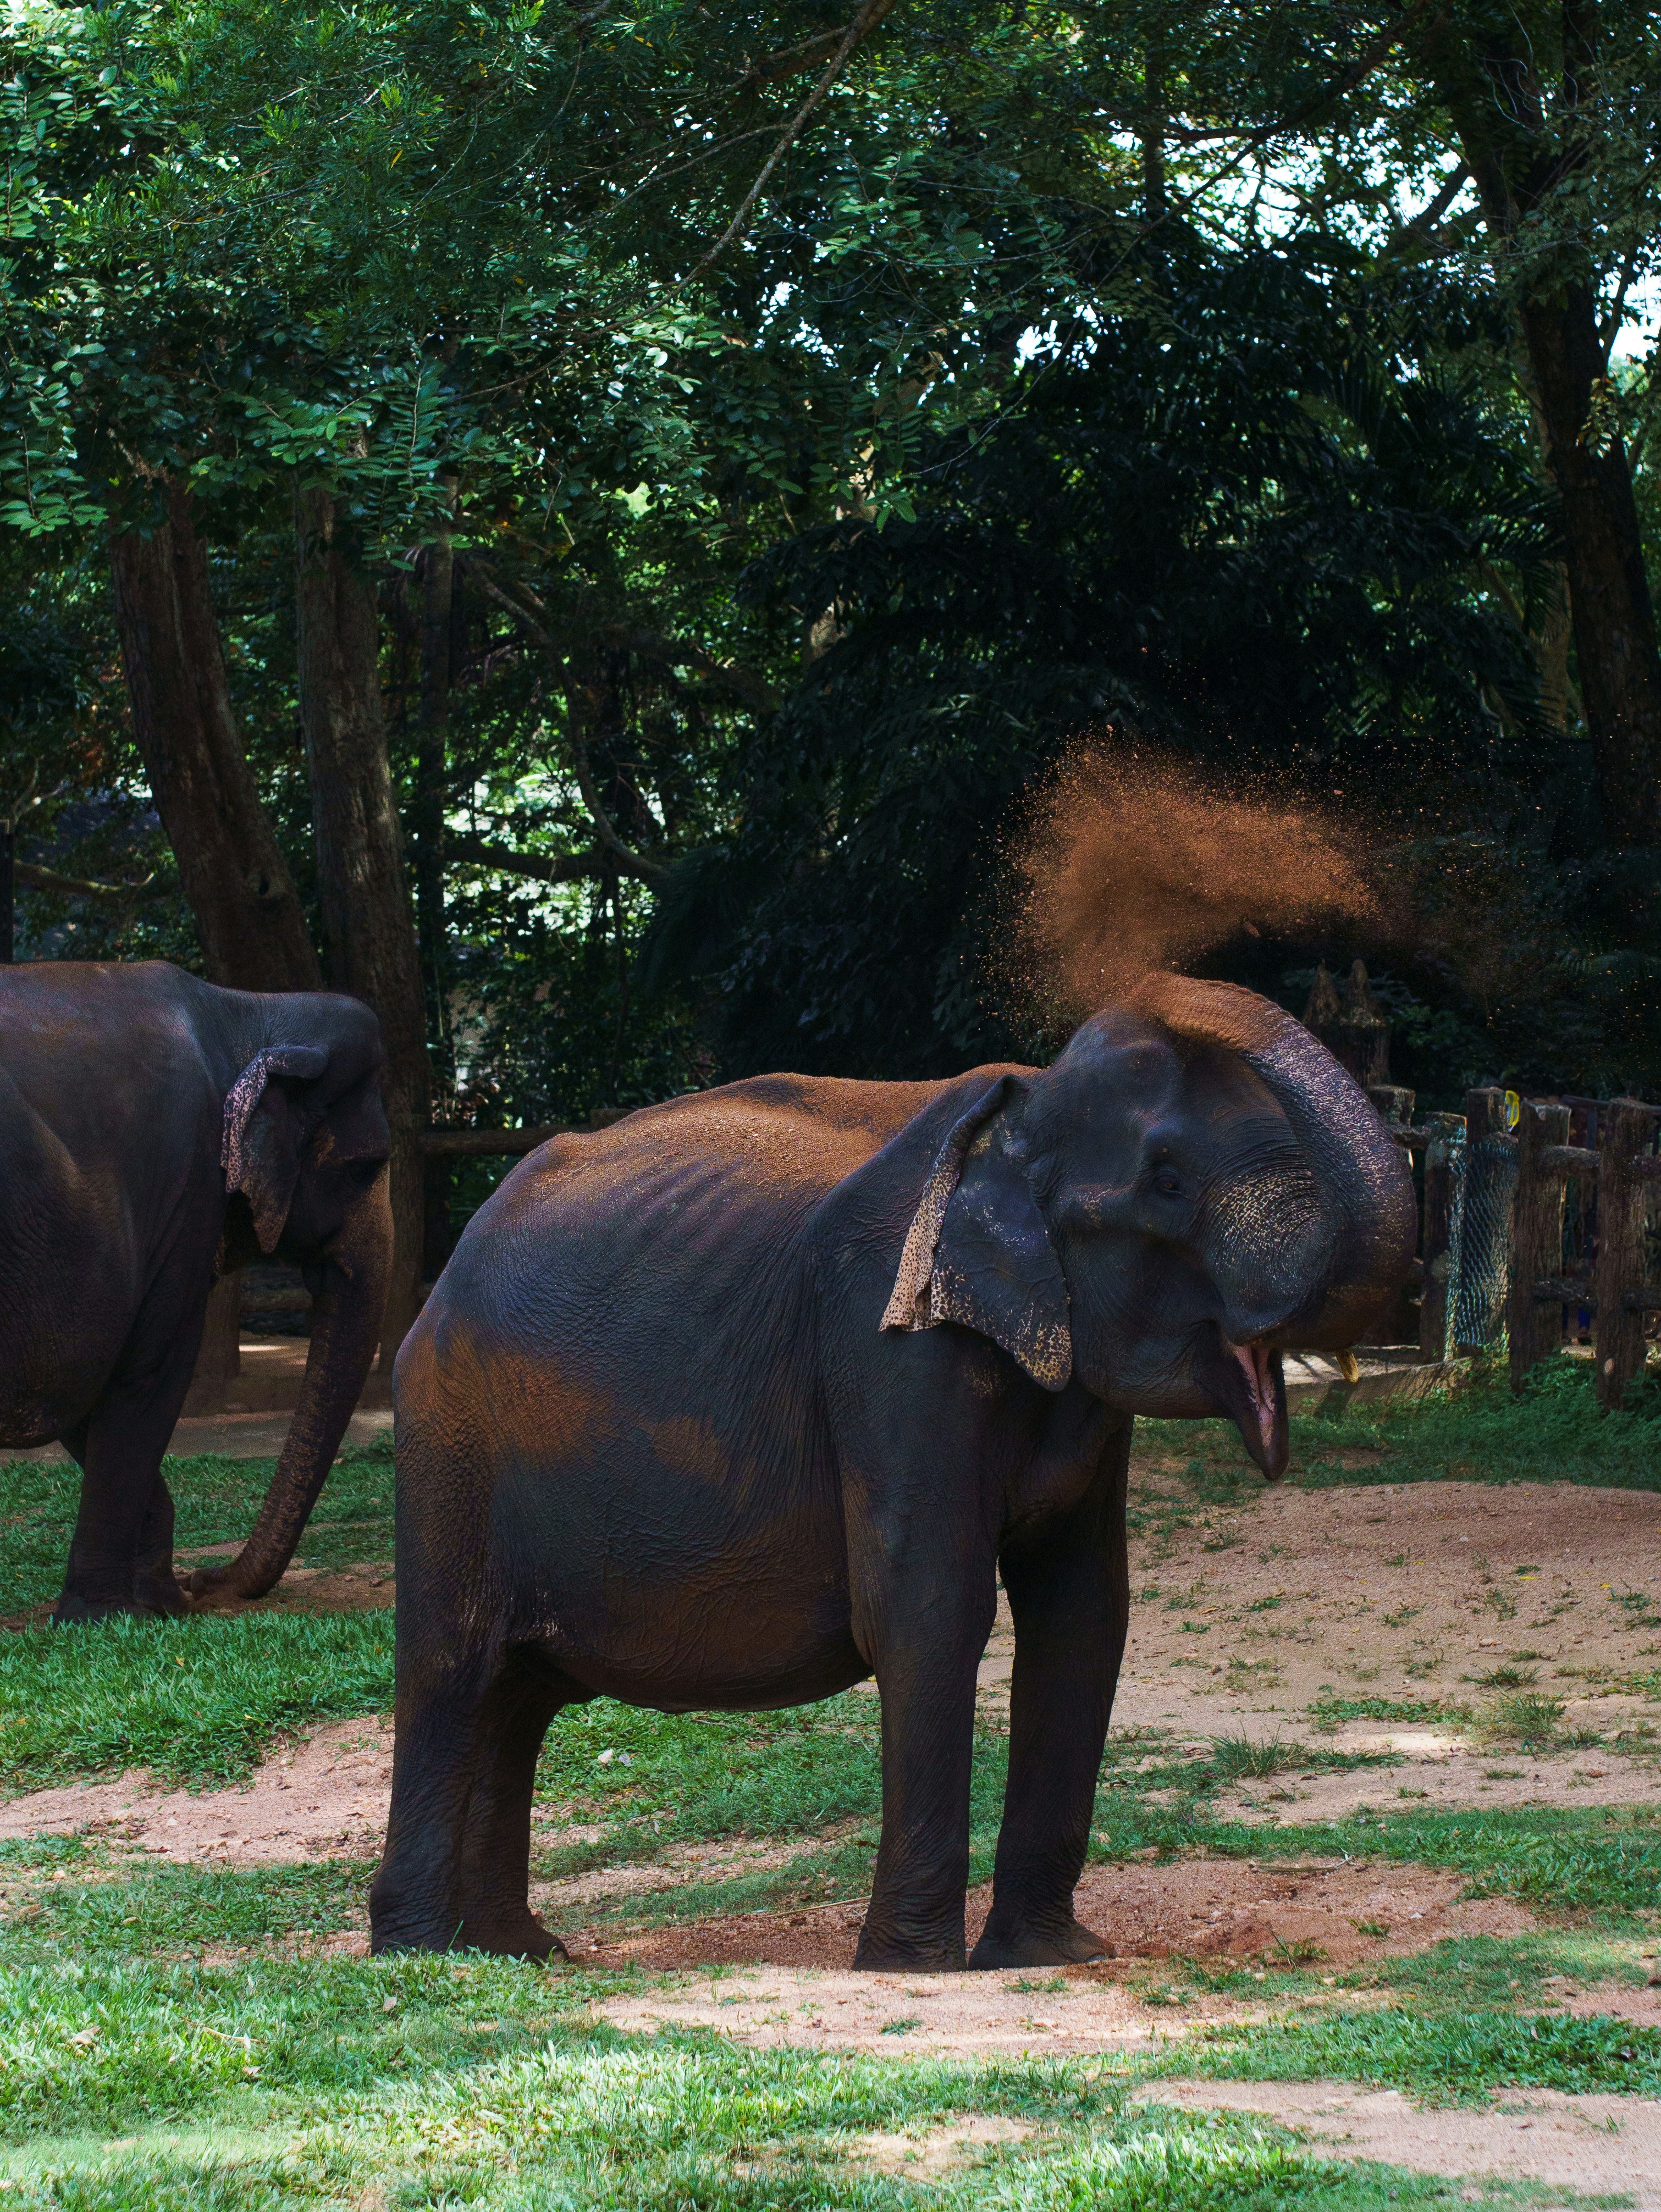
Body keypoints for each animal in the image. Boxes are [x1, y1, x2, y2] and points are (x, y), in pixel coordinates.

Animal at [0, 959, 392, 1621]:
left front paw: (158, 1603)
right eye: (365, 1167)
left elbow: (85, 1387)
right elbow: (148, 1371)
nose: (205, 1579)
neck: (246, 1008)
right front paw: (109, 1617)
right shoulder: (184, 1193)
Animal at [370, 974, 1415, 1969]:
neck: (1016, 1117)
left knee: (518, 1695)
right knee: (452, 1667)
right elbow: (928, 1604)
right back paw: (422, 1955)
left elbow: (1083, 1611)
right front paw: (914, 1966)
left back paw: (514, 1953)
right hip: (448, 1438)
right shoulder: (887, 1346)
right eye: (1165, 1182)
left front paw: (1047, 1956)